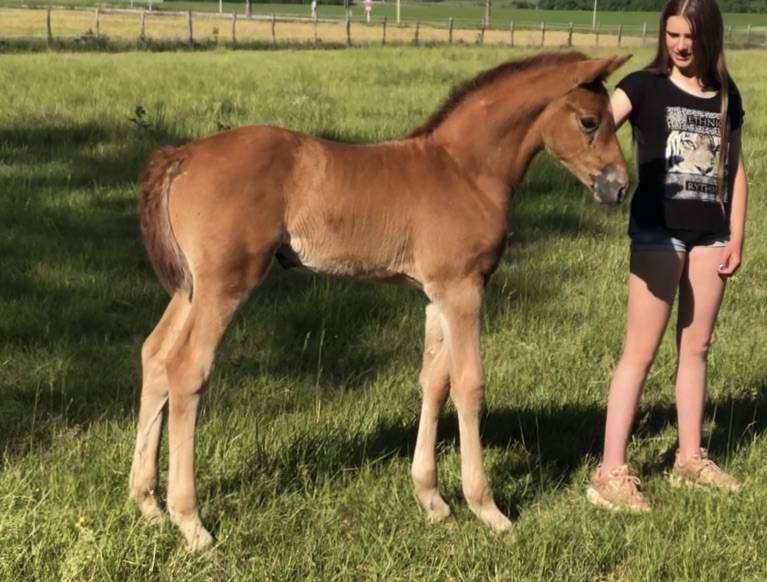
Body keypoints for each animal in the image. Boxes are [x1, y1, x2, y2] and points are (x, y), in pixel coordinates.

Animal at [129, 52, 630, 552]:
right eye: (589, 121)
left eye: (614, 119)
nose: (620, 187)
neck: (465, 171)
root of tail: (182, 156)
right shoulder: (464, 288)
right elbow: (469, 385)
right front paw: (487, 509)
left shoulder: (435, 294)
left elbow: (434, 381)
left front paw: (432, 500)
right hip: (224, 284)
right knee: (187, 368)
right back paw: (190, 522)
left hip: (190, 288)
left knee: (155, 355)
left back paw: (147, 503)